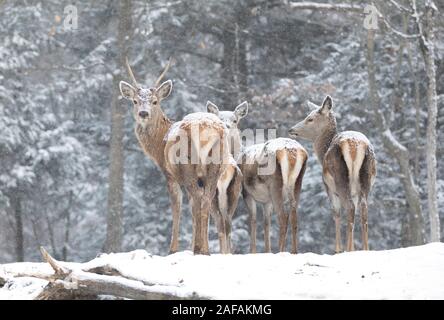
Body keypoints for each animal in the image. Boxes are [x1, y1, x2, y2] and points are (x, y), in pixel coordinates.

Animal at [206, 100, 248, 252]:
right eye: (220, 118)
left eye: (235, 120)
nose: (227, 126)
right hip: (233, 192)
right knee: (226, 224)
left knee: (221, 224)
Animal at [288, 96, 378, 251]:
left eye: (310, 118)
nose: (291, 129)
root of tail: (356, 146)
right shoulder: (354, 192)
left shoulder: (329, 188)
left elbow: (336, 213)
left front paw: (338, 250)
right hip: (365, 180)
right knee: (363, 209)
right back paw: (365, 249)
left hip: (339, 179)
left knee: (349, 208)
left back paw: (348, 250)